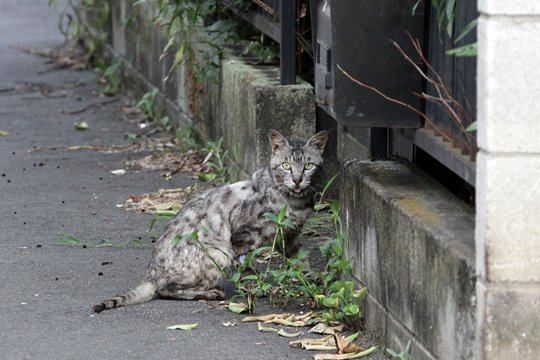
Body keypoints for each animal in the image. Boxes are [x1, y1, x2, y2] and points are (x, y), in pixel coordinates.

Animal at [93, 129, 326, 312]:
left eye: (308, 166)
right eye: (286, 166)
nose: (297, 179)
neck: (295, 201)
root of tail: (150, 275)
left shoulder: (288, 235)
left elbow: (301, 259)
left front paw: (313, 279)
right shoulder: (241, 236)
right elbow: (245, 267)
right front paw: (254, 287)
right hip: (219, 253)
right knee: (165, 289)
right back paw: (210, 293)